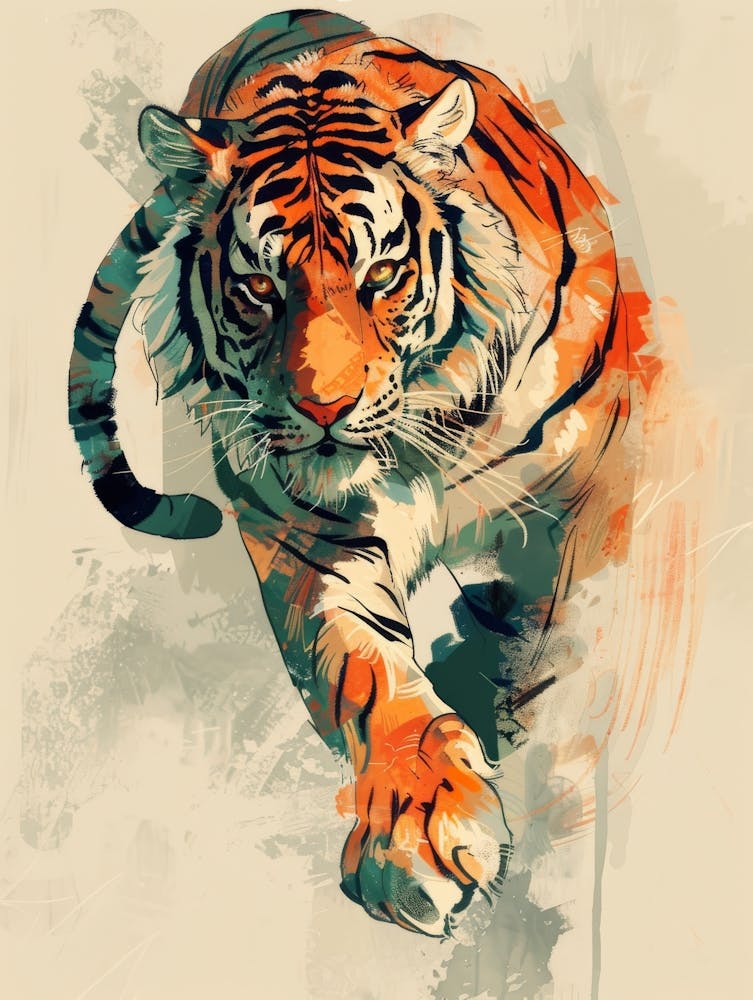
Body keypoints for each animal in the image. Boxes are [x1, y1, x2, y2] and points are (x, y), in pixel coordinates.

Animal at [68, 9, 649, 936]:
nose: (323, 409)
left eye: (380, 273)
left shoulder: (585, 498)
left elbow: (559, 641)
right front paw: (420, 826)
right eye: (259, 287)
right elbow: (367, 670)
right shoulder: (309, 536)